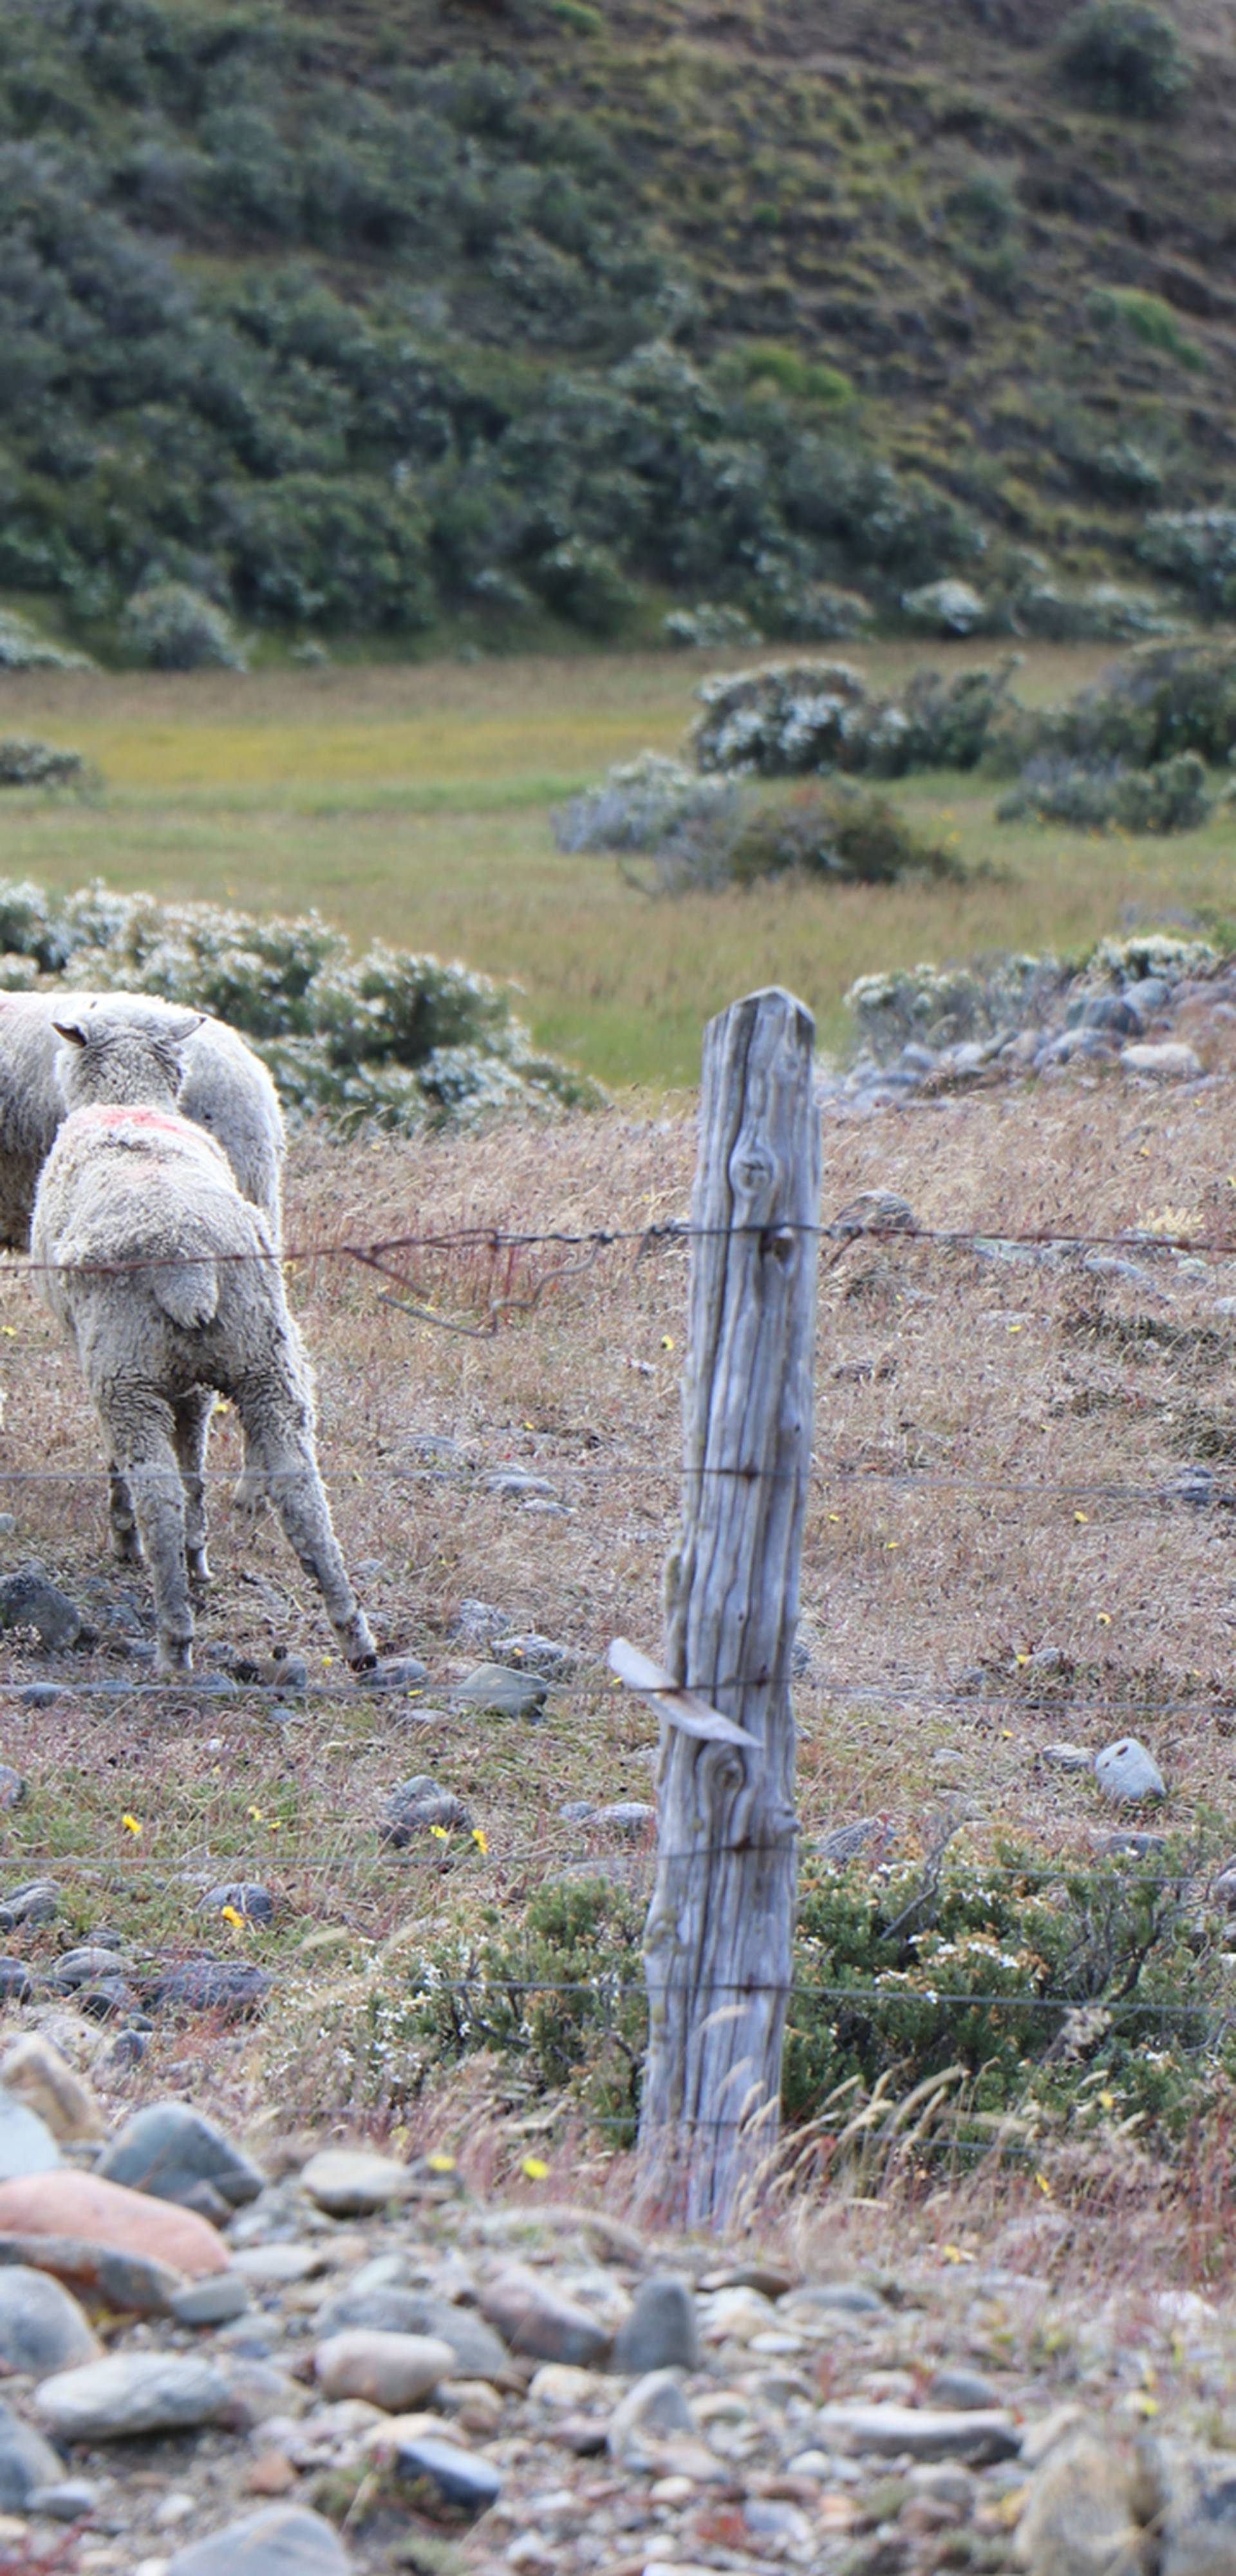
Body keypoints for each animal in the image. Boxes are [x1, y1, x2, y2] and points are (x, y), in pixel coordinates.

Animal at [33, 1015, 376, 1680]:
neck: (131, 1101)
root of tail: (187, 1263)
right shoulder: (189, 1376)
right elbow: (194, 1446)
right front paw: (201, 1554)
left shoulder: (106, 1360)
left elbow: (144, 1463)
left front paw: (129, 1539)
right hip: (263, 1356)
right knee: (302, 1493)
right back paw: (356, 1639)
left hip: (127, 1371)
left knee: (157, 1497)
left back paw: (173, 1641)